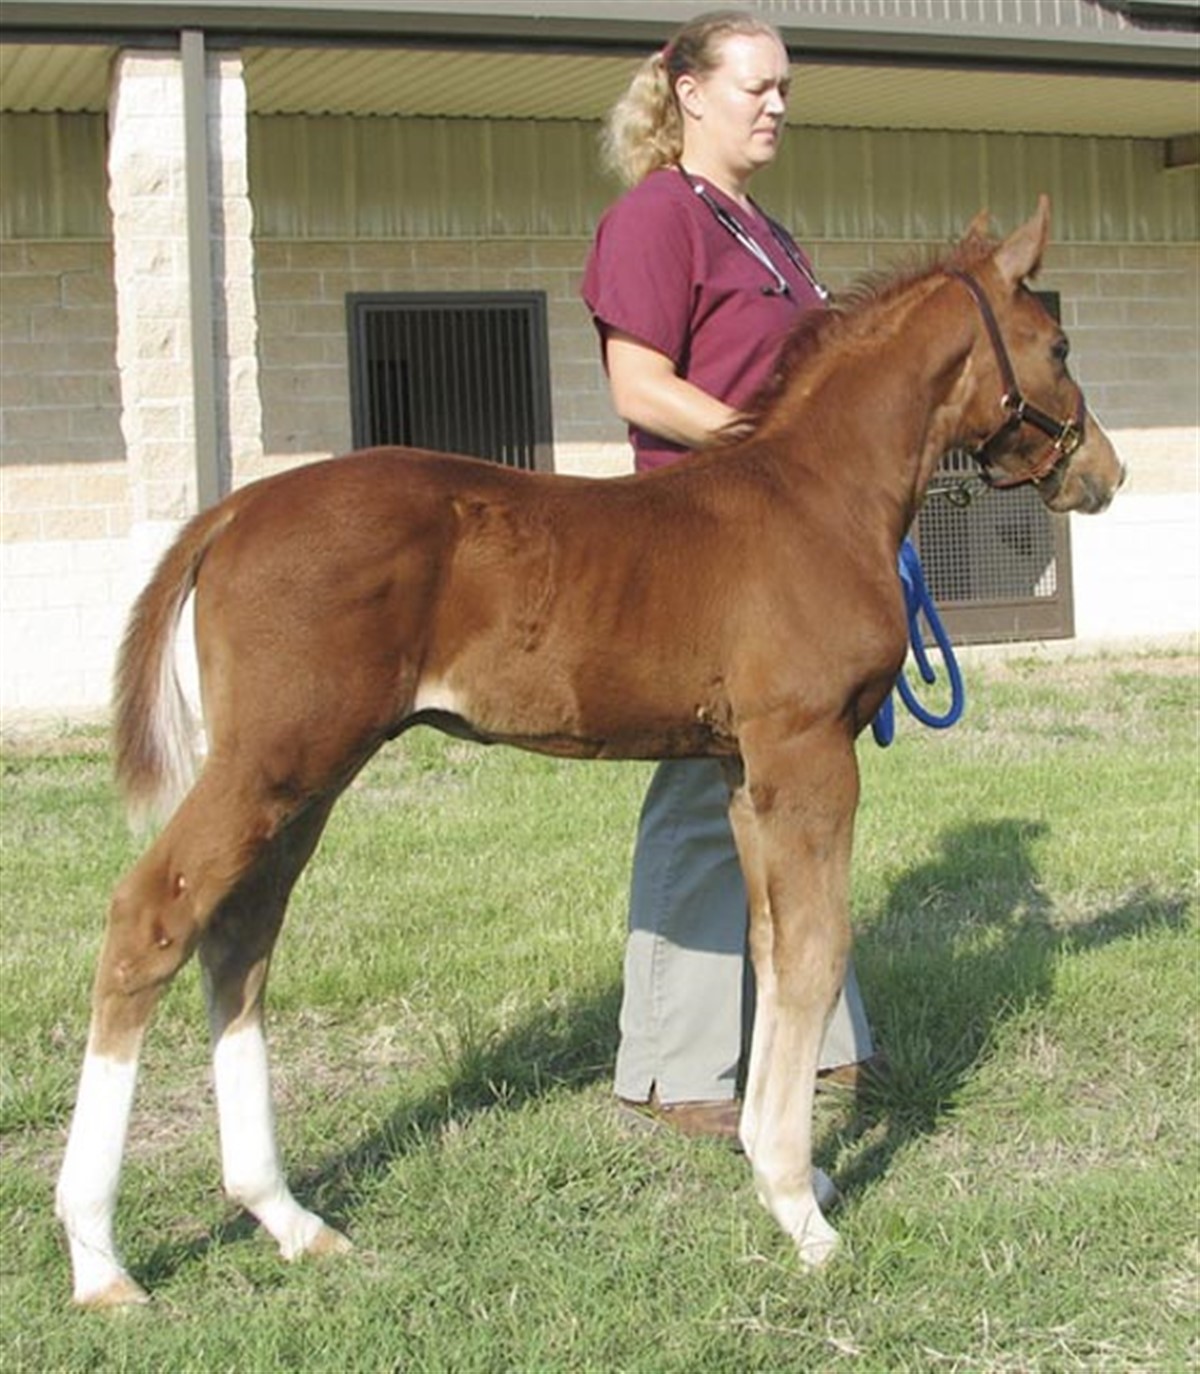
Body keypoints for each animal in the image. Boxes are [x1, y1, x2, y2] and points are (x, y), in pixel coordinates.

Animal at [55, 197, 1124, 1306]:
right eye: (1056, 344)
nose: (1102, 471)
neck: (815, 500)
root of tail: (230, 511)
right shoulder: (808, 754)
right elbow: (817, 951)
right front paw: (800, 1209)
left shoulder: (741, 771)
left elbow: (768, 945)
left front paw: (777, 1165)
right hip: (270, 762)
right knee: (152, 918)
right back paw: (99, 1256)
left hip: (309, 777)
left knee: (240, 939)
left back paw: (286, 1216)